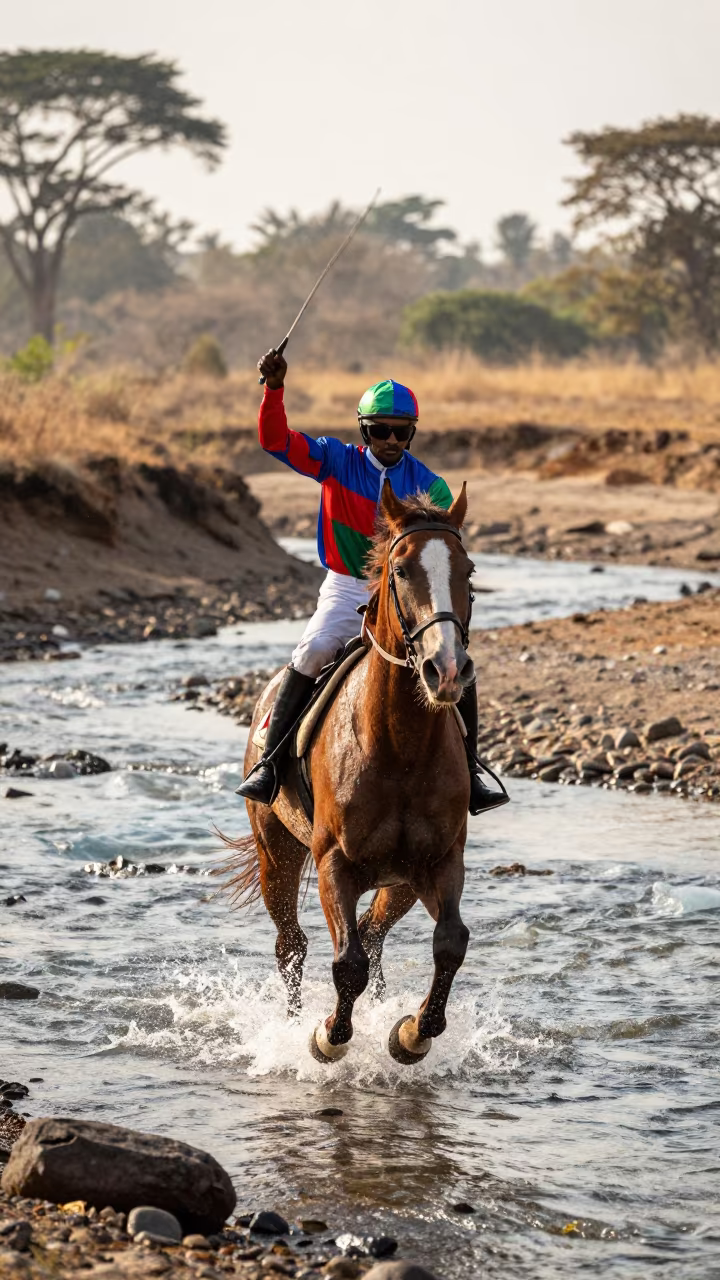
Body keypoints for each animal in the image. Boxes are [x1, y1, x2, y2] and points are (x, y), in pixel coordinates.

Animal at [220, 480, 477, 1066]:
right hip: (277, 854)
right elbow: (347, 963)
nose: (448, 670)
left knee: (372, 932)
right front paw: (327, 1038)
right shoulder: (333, 864)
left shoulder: (441, 861)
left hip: (400, 883)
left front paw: (411, 1033)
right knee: (292, 945)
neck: (401, 747)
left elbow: (450, 943)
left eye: (469, 571)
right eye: (400, 570)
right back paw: (293, 1023)